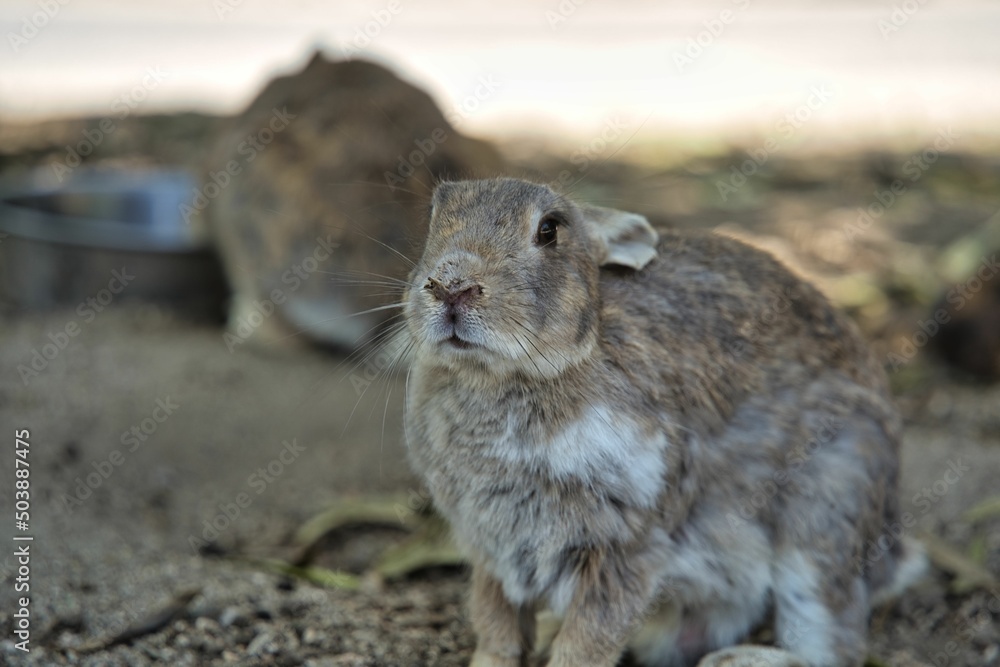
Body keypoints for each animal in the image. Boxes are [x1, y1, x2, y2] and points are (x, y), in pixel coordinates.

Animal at [401, 177, 926, 667]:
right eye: (432, 216)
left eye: (549, 230)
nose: (451, 287)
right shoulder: (490, 549)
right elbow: (496, 630)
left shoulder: (630, 546)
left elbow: (587, 641)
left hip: (825, 513)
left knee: (831, 642)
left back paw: (733, 660)